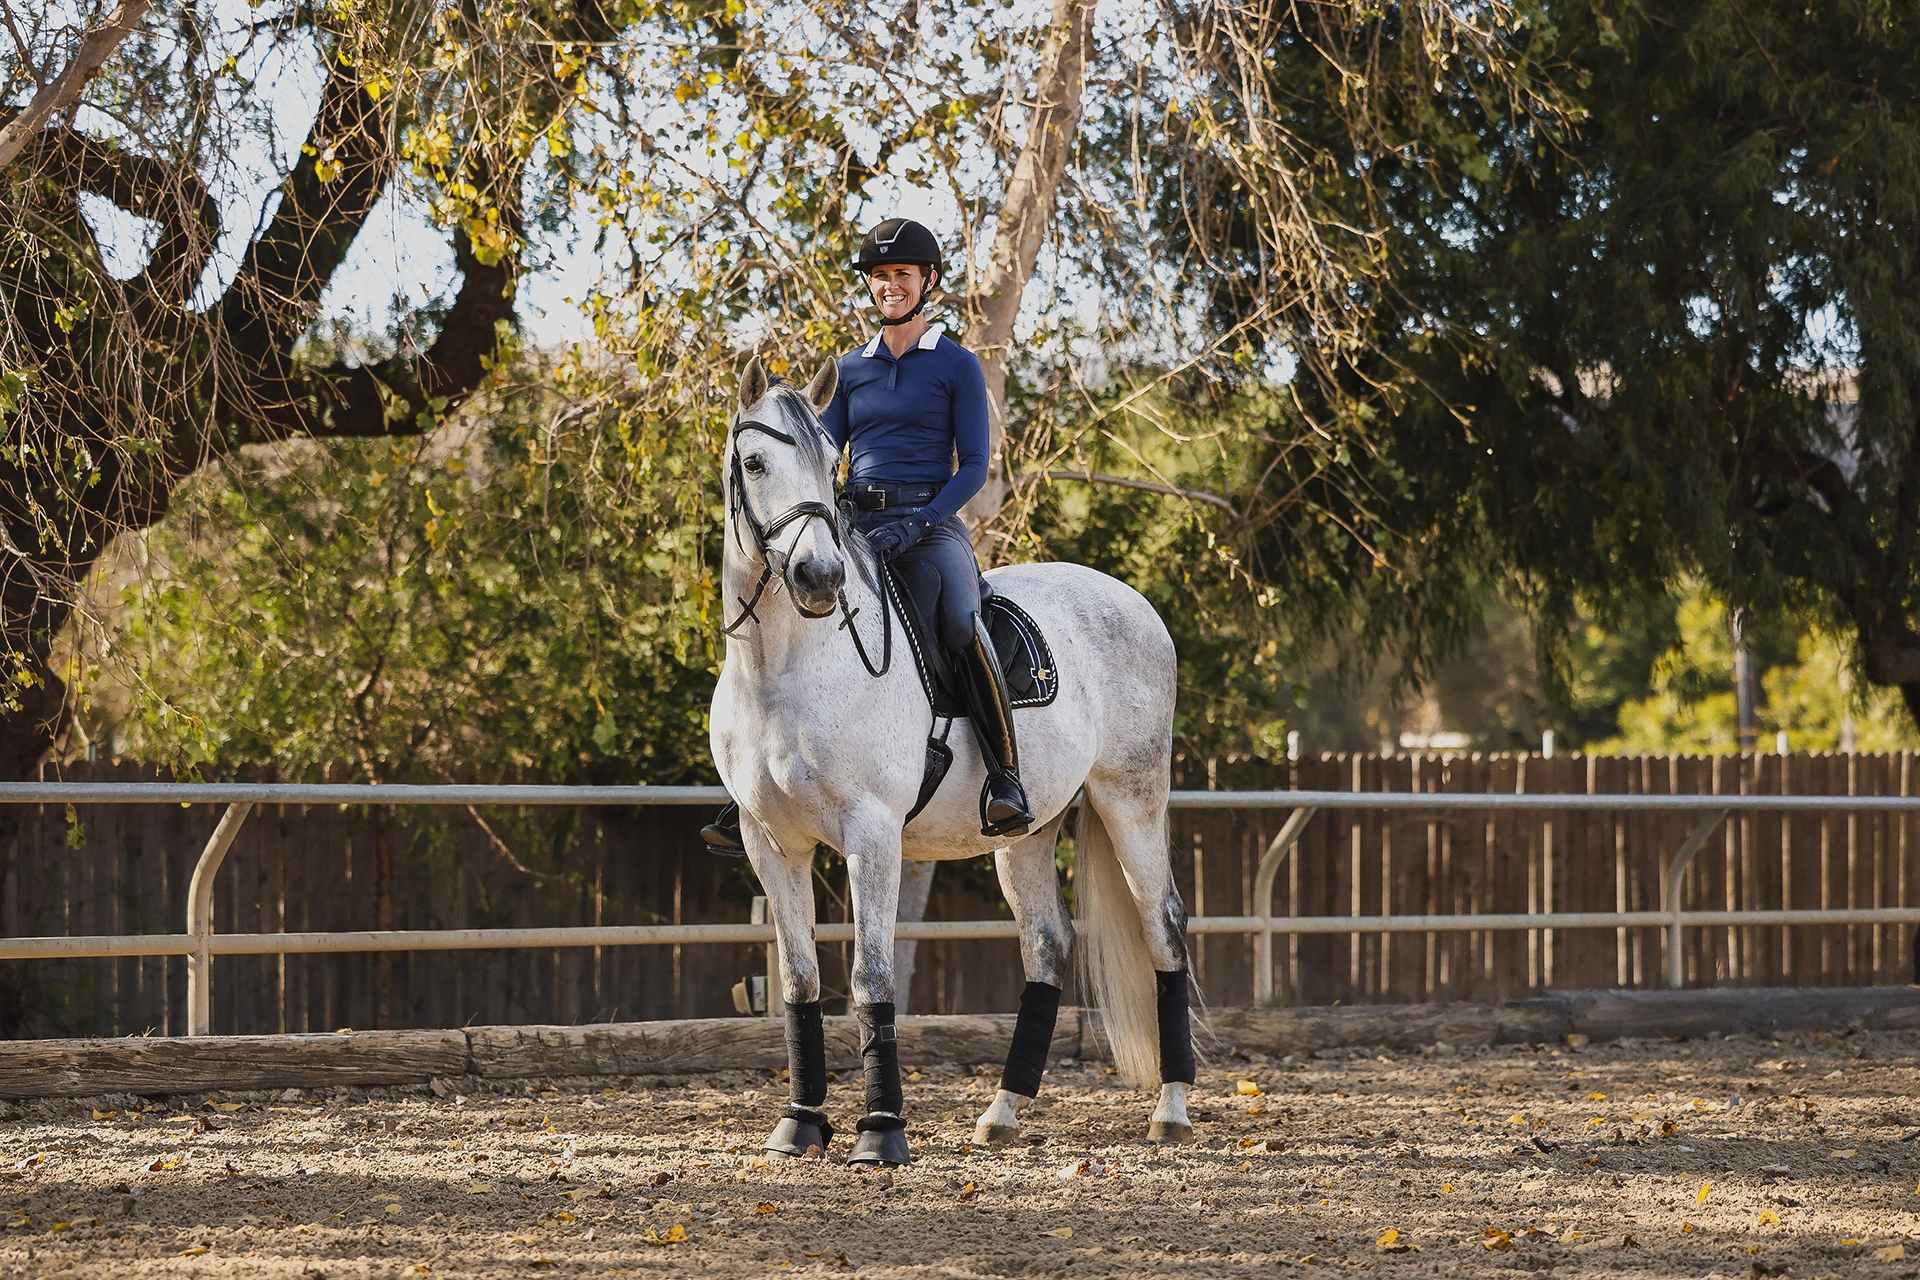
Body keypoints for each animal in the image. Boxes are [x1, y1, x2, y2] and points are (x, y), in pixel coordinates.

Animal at [708, 355, 1196, 1168]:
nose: (820, 579)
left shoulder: (871, 833)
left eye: (830, 466)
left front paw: (881, 1132)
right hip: (1027, 832)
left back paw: (1172, 1110)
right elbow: (801, 980)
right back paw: (1003, 1113)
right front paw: (800, 1123)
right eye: (754, 464)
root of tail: (1134, 603)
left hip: (1132, 801)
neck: (784, 669)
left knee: (1163, 931)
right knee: (1047, 945)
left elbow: (870, 975)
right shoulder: (768, 841)